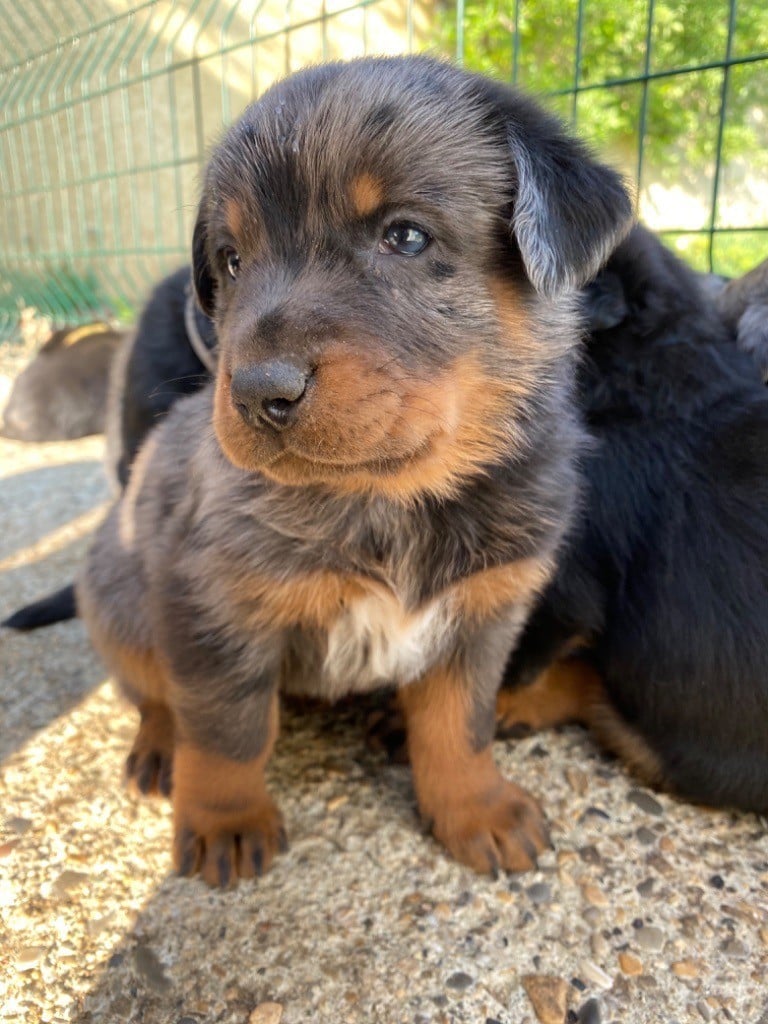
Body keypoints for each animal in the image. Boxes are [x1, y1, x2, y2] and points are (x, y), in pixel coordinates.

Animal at [76, 58, 630, 888]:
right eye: (232, 260)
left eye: (405, 235)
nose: (257, 390)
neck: (388, 500)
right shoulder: (214, 604)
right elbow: (229, 730)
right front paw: (225, 819)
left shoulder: (484, 610)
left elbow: (460, 723)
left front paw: (476, 809)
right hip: (116, 598)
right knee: (152, 691)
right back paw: (157, 749)